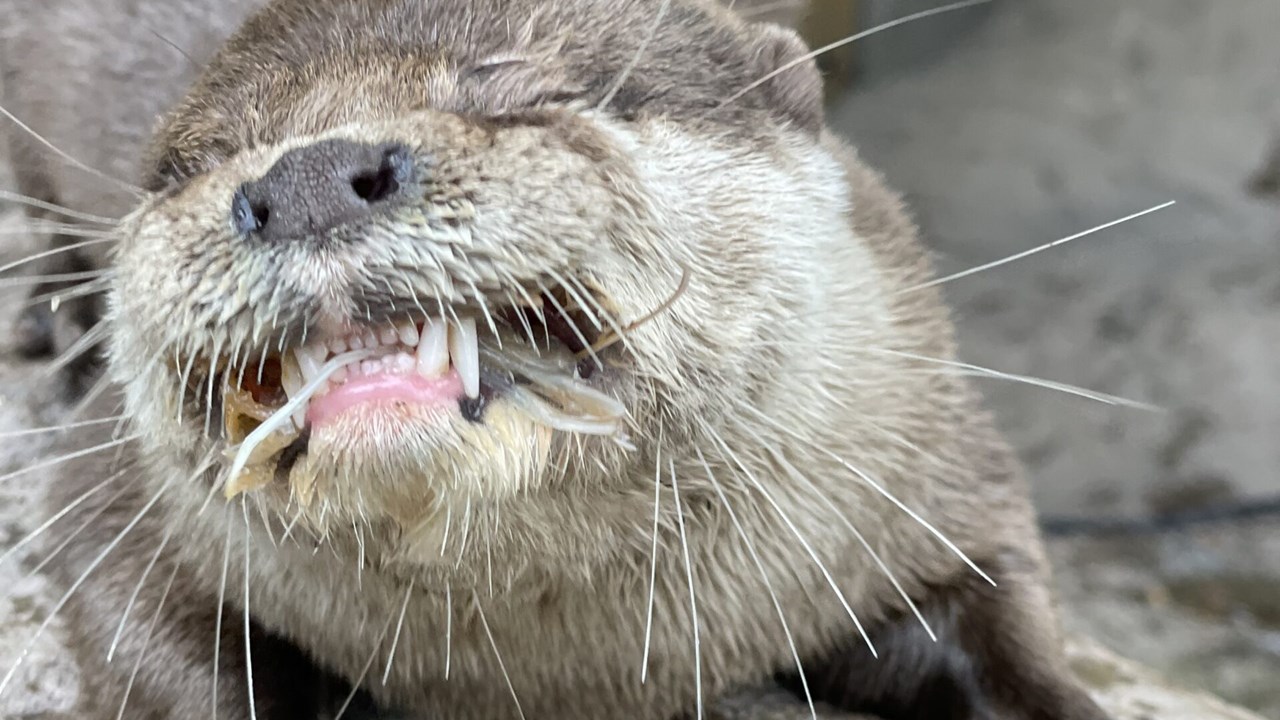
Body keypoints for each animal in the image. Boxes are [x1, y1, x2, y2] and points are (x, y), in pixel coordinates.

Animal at [1, 1, 1111, 718]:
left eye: (519, 91)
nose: (306, 177)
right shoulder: (114, 493)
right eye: (194, 164)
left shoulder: (931, 459)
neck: (576, 673)